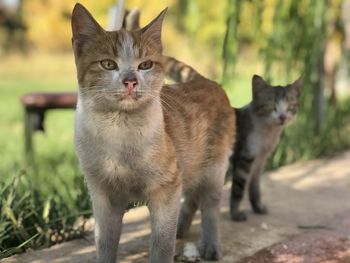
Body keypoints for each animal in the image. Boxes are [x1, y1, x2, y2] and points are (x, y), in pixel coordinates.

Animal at [71, 3, 235, 262]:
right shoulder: (103, 197)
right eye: (108, 64)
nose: (130, 80)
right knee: (191, 197)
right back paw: (182, 227)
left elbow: (162, 243)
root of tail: (205, 80)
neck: (119, 134)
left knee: (209, 206)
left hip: (214, 170)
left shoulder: (166, 190)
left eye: (145, 65)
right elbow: (105, 243)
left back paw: (210, 245)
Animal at [230, 75, 300, 222]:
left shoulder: (260, 161)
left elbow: (255, 187)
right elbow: (238, 189)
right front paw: (235, 214)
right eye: (272, 106)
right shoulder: (244, 159)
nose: (282, 117)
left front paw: (258, 207)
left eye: (290, 106)